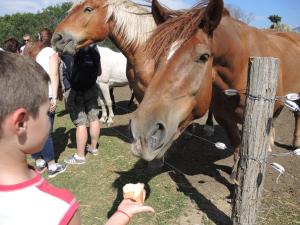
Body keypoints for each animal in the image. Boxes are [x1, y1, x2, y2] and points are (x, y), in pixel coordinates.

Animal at [129, 0, 300, 179]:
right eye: (156, 54)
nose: (142, 133)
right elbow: (237, 144)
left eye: (204, 57)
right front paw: (236, 173)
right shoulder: (224, 118)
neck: (243, 69)